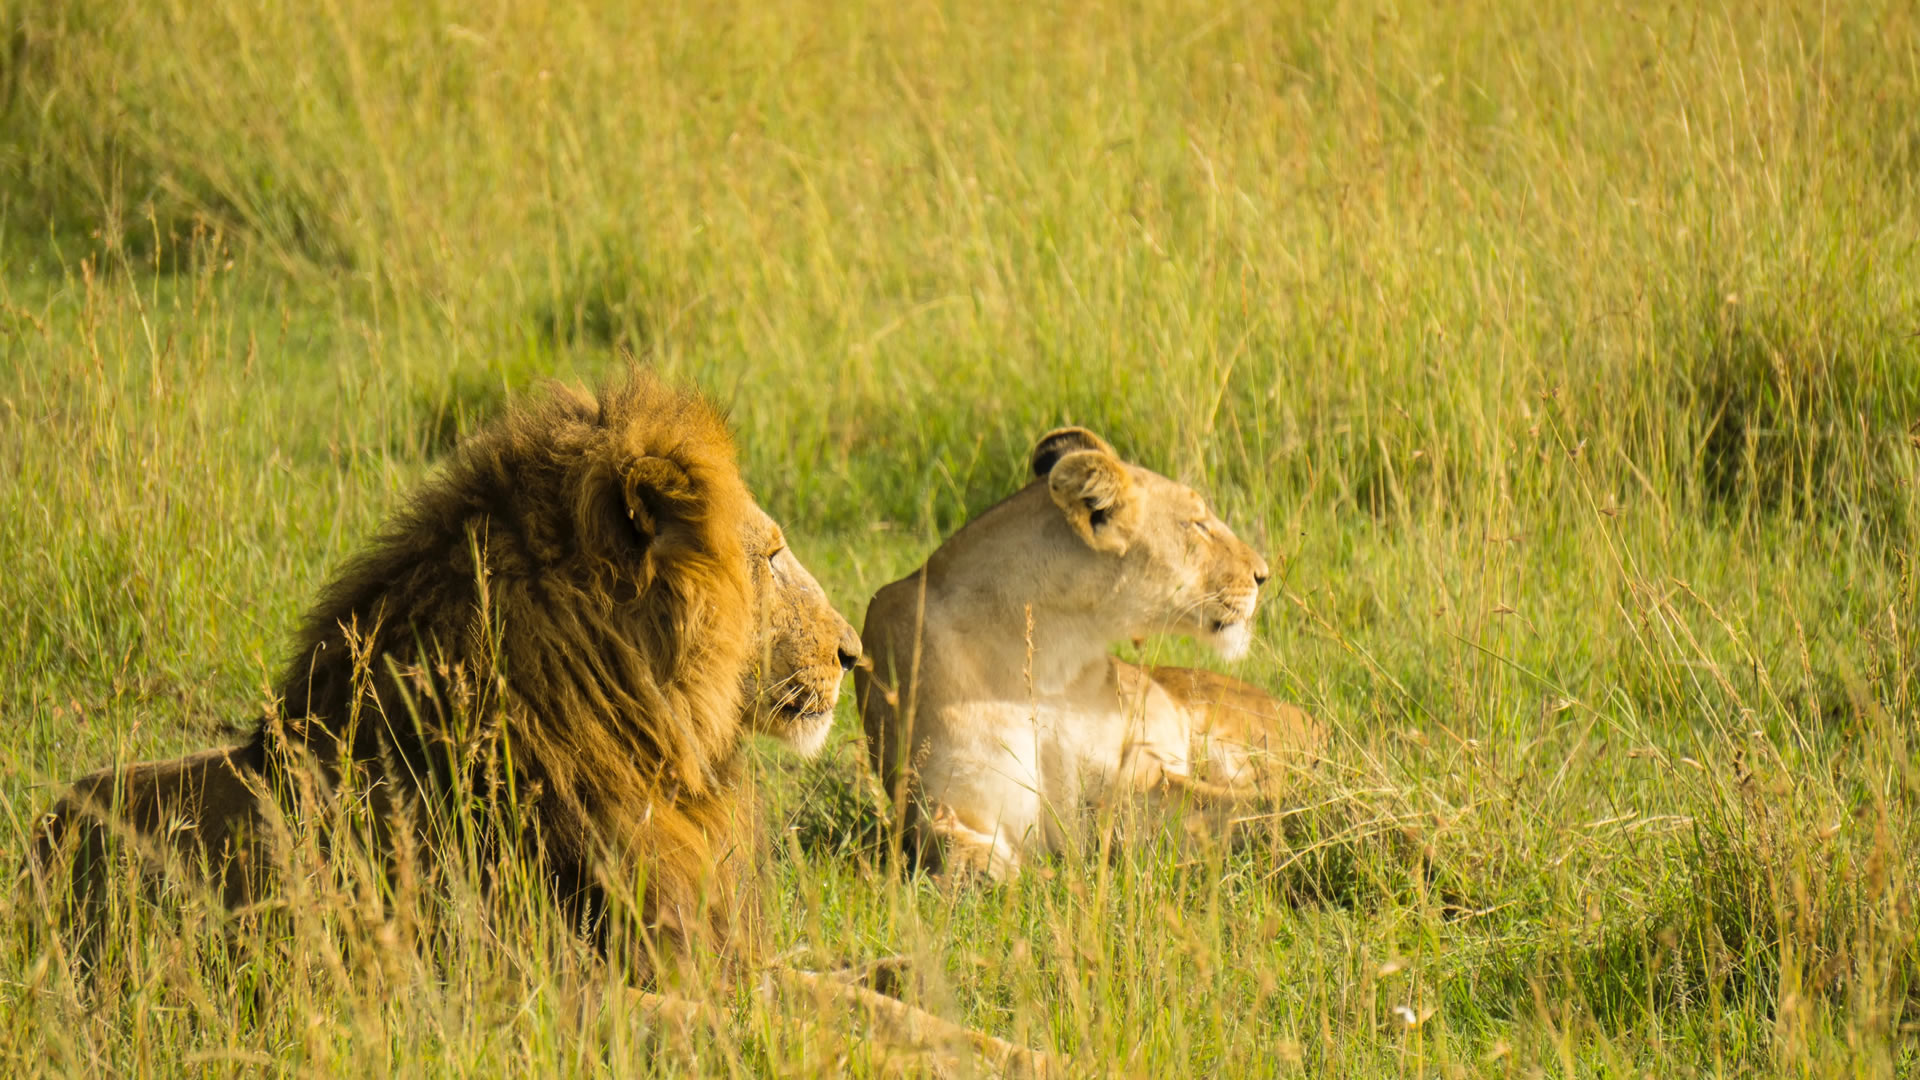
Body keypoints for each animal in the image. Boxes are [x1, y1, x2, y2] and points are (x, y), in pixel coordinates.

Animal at [856, 426, 1325, 880]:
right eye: (1197, 525)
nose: (1263, 574)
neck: (1047, 658)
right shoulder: (943, 802)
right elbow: (958, 855)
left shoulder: (1135, 782)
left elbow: (1261, 806)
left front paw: (1325, 810)